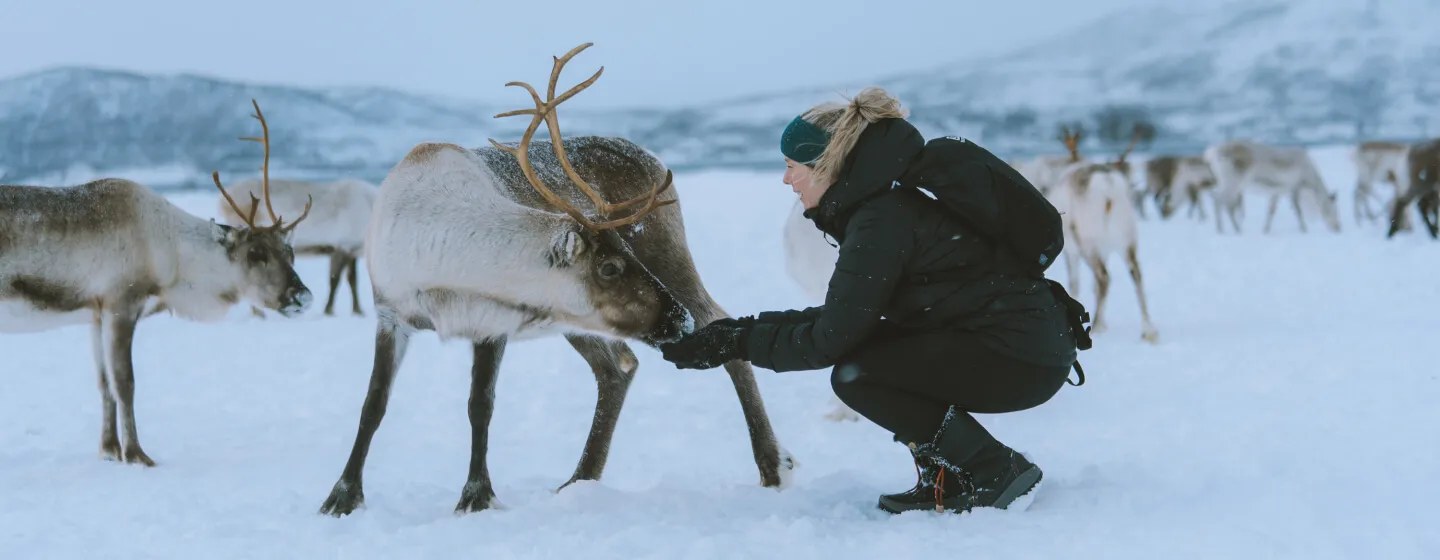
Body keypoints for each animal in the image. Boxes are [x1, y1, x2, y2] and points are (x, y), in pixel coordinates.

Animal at [0, 99, 313, 466]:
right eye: (255, 253)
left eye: (290, 251)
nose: (302, 295)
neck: (171, 257)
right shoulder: (121, 303)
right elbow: (125, 383)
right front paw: (137, 454)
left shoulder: (95, 313)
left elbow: (104, 383)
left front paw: (109, 450)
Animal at [217, 177, 378, 316]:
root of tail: (222, 201)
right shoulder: (341, 246)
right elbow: (334, 281)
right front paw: (328, 311)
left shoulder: (352, 250)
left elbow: (353, 280)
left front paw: (358, 311)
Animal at [316, 43, 793, 517]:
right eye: (609, 266)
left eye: (623, 253)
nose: (678, 320)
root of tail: (653, 158)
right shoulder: (391, 313)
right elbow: (373, 404)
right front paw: (343, 496)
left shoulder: (491, 324)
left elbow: (480, 405)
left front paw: (477, 495)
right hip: (577, 320)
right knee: (619, 366)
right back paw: (581, 478)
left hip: (668, 255)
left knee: (717, 325)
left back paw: (772, 464)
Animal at [1045, 134, 1159, 343]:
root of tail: (1108, 188)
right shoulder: (1104, 250)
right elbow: (1092, 287)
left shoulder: (1071, 250)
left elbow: (1075, 283)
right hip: (1127, 238)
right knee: (1135, 273)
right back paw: (1149, 329)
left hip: (1089, 243)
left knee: (1104, 277)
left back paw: (1096, 326)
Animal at [1203, 140, 1341, 235]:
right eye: (1334, 210)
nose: (1338, 228)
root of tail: (1211, 153)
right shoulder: (1294, 188)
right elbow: (1298, 210)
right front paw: (1304, 229)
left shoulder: (1277, 192)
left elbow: (1271, 211)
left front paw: (1266, 230)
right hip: (1233, 183)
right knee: (1218, 200)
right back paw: (1225, 229)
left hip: (1229, 185)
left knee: (1223, 202)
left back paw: (1235, 229)